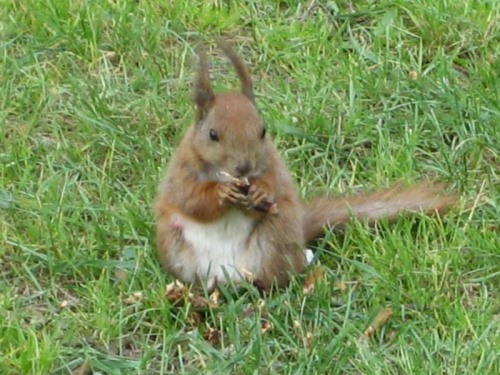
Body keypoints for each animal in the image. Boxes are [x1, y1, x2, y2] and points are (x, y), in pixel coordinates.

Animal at [155, 39, 458, 290]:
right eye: (212, 134)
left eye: (263, 131)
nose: (244, 167)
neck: (226, 174)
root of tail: (229, 276)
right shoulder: (181, 172)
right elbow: (191, 200)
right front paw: (220, 193)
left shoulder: (274, 169)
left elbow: (271, 189)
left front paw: (260, 192)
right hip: (176, 245)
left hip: (274, 238)